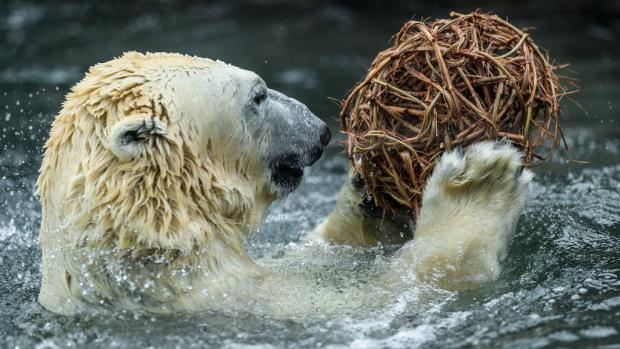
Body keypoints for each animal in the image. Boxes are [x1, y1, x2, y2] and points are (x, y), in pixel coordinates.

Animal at [36, 51, 532, 316]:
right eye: (257, 95)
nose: (322, 130)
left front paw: (365, 194)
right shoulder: (222, 295)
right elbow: (373, 300)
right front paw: (479, 181)